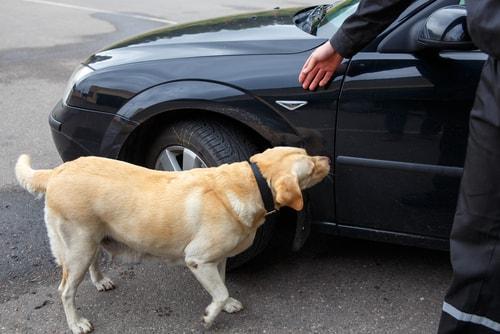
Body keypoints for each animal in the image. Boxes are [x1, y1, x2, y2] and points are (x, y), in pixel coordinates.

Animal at [13, 147, 330, 332]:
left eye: (308, 152)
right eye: (311, 166)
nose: (327, 158)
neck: (252, 181)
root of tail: (58, 170)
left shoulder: (217, 259)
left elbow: (222, 285)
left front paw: (226, 305)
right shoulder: (198, 259)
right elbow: (219, 292)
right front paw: (210, 316)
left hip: (90, 240)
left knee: (92, 263)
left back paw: (100, 280)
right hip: (78, 245)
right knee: (65, 290)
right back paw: (76, 322)